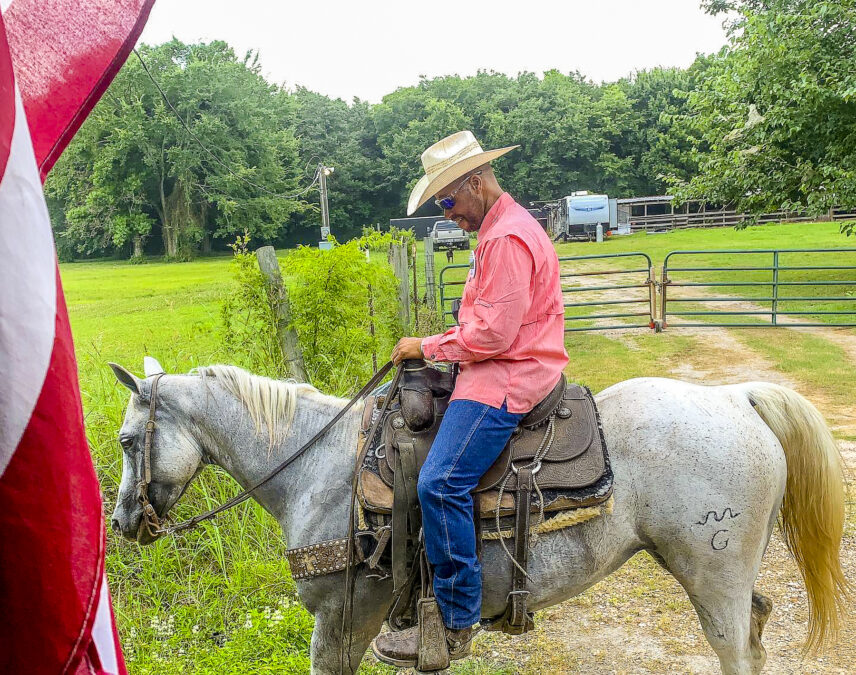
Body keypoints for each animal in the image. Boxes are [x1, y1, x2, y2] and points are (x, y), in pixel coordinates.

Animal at [108, 362, 848, 672]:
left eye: (125, 442)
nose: (122, 523)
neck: (314, 466)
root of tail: (736, 396)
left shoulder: (341, 619)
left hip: (712, 576)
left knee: (738, 648)